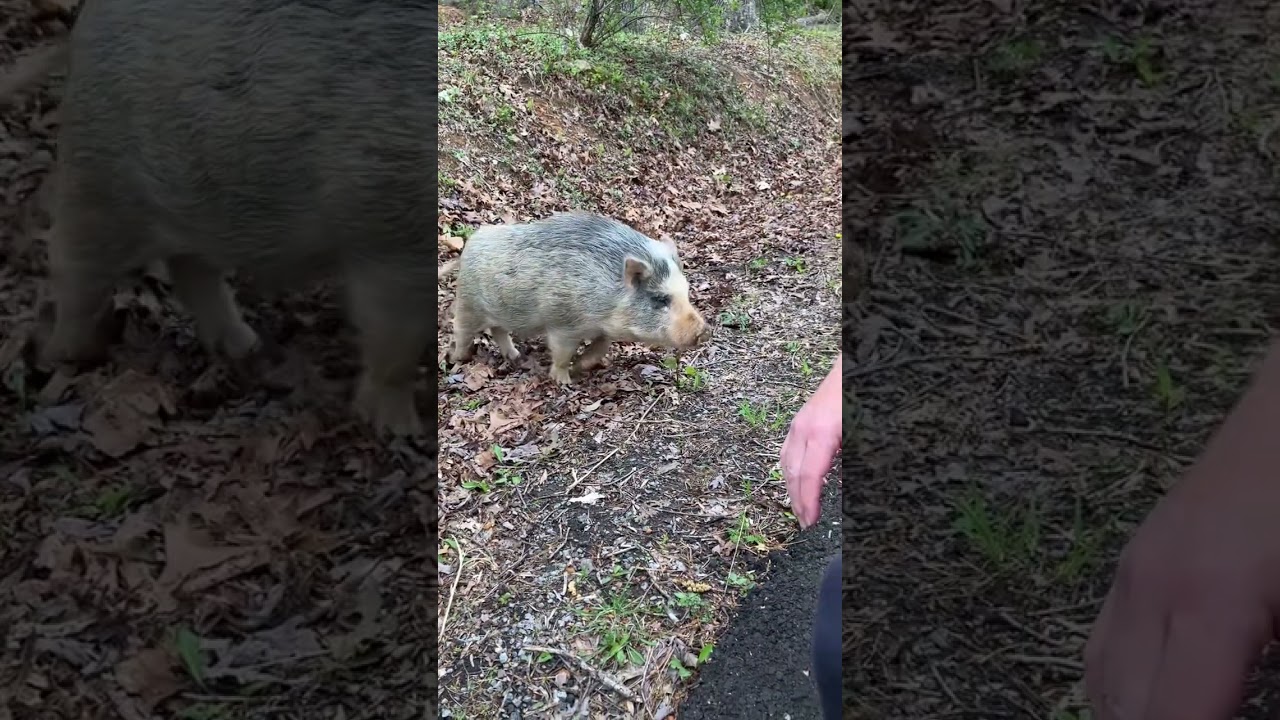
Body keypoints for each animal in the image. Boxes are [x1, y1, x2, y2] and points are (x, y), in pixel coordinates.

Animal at [38, 0, 436, 436]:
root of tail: (85, 24)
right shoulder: (389, 231)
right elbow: (397, 340)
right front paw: (402, 431)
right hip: (99, 177)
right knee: (70, 258)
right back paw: (67, 355)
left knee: (191, 268)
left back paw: (245, 345)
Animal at [441, 211, 712, 384]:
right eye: (661, 299)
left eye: (687, 293)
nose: (704, 330)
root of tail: (469, 244)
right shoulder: (563, 324)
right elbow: (562, 354)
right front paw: (565, 381)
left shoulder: (602, 330)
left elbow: (599, 349)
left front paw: (580, 367)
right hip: (468, 303)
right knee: (462, 330)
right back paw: (456, 359)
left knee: (498, 331)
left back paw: (516, 357)